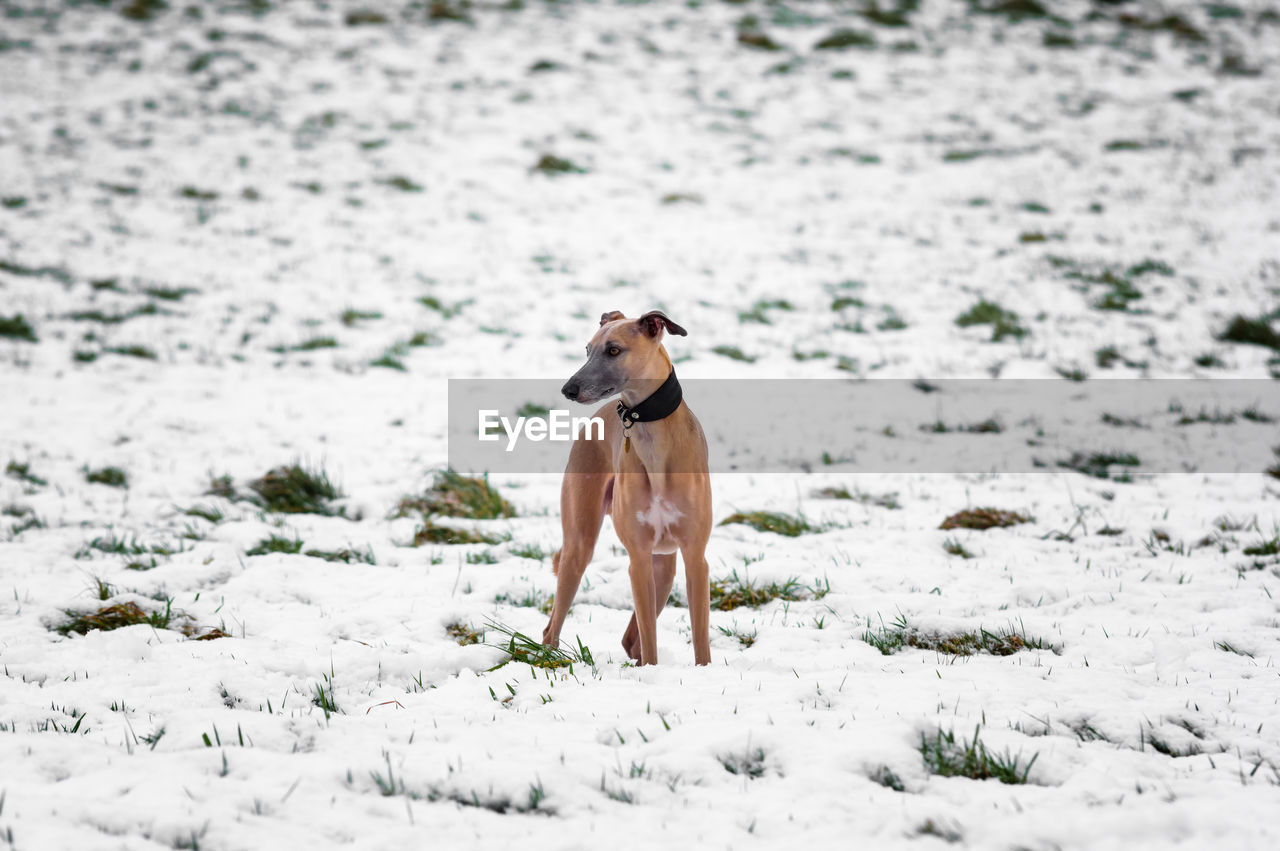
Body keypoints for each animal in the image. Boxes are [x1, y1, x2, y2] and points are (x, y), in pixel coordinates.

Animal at [540, 308, 716, 665]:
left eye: (614, 350)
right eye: (587, 350)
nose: (568, 389)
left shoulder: (695, 557)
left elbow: (700, 640)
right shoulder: (638, 558)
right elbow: (649, 638)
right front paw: (651, 673)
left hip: (664, 569)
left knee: (630, 639)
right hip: (580, 546)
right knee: (554, 626)